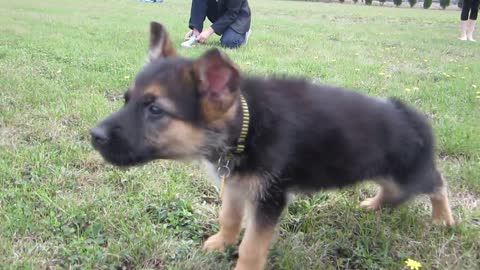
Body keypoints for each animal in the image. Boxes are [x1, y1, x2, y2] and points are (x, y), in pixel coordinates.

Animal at [92, 22, 456, 270]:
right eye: (127, 100)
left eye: (155, 110)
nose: (94, 135)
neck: (246, 125)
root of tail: (409, 116)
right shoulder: (236, 184)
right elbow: (229, 217)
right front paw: (221, 242)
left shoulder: (269, 198)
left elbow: (252, 245)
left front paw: (242, 264)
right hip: (381, 171)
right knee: (392, 192)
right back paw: (375, 204)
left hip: (408, 175)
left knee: (437, 182)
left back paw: (443, 218)